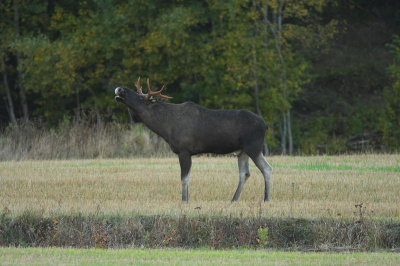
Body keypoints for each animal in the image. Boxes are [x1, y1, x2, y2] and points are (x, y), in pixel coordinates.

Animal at [114, 78, 274, 203]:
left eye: (142, 98)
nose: (120, 89)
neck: (165, 128)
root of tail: (265, 125)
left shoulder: (184, 150)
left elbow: (184, 178)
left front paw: (184, 201)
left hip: (253, 147)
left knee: (267, 168)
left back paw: (266, 199)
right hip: (242, 151)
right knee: (244, 173)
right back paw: (233, 199)